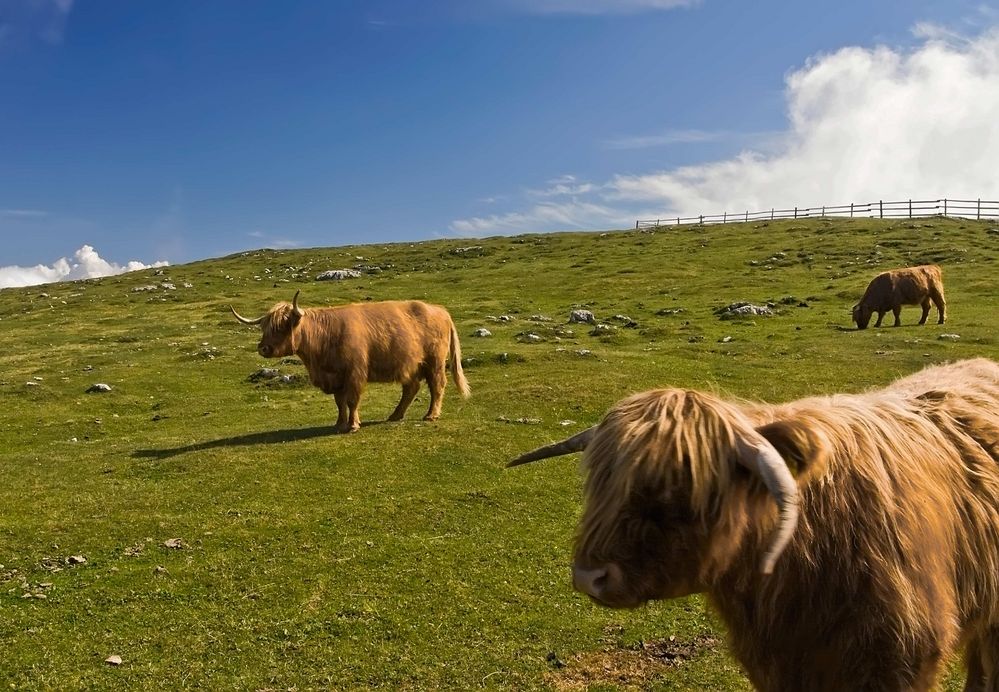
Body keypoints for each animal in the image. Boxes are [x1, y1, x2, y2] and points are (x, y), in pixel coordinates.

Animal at [232, 290, 470, 432]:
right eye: (264, 327)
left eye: (282, 326)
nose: (263, 348)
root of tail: (440, 310)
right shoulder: (336, 378)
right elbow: (340, 402)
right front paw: (340, 424)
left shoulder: (355, 373)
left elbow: (352, 400)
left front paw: (353, 425)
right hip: (410, 364)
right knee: (411, 389)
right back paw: (395, 415)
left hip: (434, 362)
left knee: (437, 386)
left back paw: (431, 415)